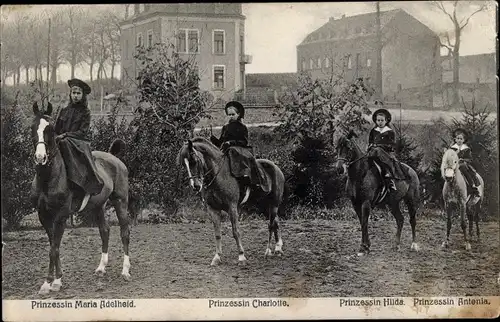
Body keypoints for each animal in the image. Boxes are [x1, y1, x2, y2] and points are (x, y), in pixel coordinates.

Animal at [28, 102, 131, 294]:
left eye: (50, 129)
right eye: (32, 127)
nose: (40, 158)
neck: (48, 178)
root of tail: (114, 157)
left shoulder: (61, 216)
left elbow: (54, 249)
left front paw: (55, 281)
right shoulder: (44, 216)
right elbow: (53, 247)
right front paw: (50, 282)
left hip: (121, 202)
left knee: (125, 233)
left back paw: (125, 270)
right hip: (99, 206)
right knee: (105, 231)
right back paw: (101, 268)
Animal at [177, 137, 286, 266]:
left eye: (193, 160)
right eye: (184, 165)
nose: (196, 186)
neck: (218, 176)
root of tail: (276, 167)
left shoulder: (232, 208)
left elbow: (235, 232)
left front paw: (241, 256)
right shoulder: (213, 209)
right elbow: (217, 234)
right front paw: (217, 257)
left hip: (274, 204)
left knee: (271, 225)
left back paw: (268, 251)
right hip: (266, 205)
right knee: (276, 222)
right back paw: (278, 248)